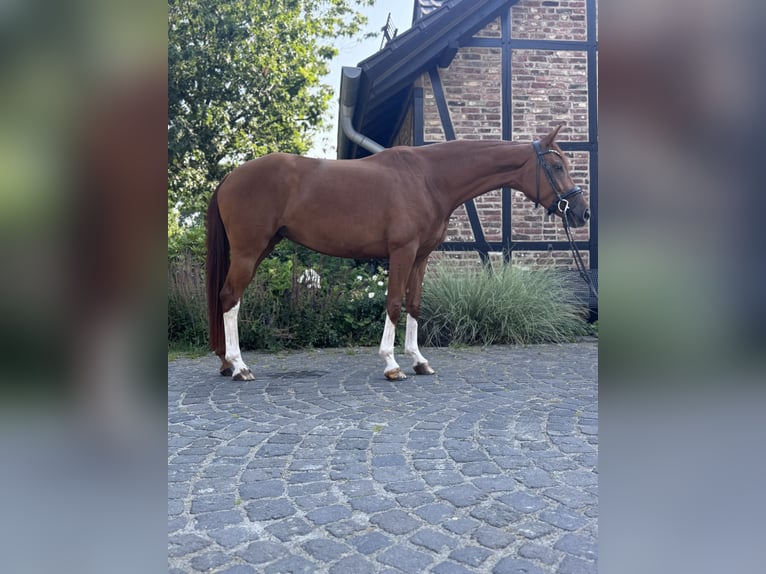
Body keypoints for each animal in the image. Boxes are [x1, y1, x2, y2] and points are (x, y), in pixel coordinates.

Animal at [206, 124, 589, 381]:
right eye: (557, 167)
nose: (581, 213)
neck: (429, 178)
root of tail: (230, 178)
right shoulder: (402, 252)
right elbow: (392, 303)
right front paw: (391, 364)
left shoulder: (420, 257)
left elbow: (414, 304)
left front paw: (419, 361)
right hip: (248, 251)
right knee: (229, 298)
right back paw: (239, 366)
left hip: (261, 248)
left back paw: (227, 364)